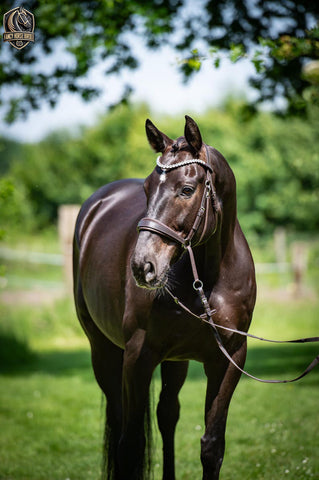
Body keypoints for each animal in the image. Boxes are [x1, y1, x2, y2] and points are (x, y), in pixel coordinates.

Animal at [73, 116, 258, 480]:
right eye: (146, 189)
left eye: (186, 189)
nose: (142, 265)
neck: (207, 282)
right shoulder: (137, 357)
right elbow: (130, 446)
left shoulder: (229, 359)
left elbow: (212, 446)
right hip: (103, 351)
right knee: (120, 421)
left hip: (176, 361)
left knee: (167, 415)